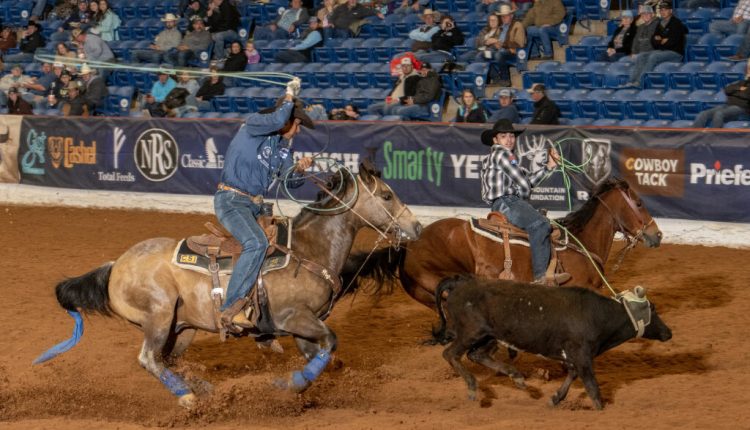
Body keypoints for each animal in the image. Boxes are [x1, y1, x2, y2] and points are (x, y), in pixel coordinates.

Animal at [33, 163, 424, 408]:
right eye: (386, 196)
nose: (417, 227)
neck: (307, 250)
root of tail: (116, 265)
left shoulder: (303, 325)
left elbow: (322, 354)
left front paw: (302, 384)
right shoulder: (294, 317)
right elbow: (330, 343)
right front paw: (290, 385)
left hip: (182, 328)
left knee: (166, 361)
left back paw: (201, 388)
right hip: (159, 315)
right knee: (149, 359)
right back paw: (189, 397)